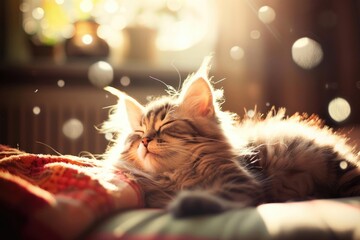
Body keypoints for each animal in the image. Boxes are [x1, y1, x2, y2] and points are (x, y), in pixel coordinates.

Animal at [100, 56, 360, 218]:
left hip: (336, 168)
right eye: (138, 134)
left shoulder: (243, 182)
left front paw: (186, 203)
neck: (178, 175)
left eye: (167, 124)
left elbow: (217, 196)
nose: (145, 140)